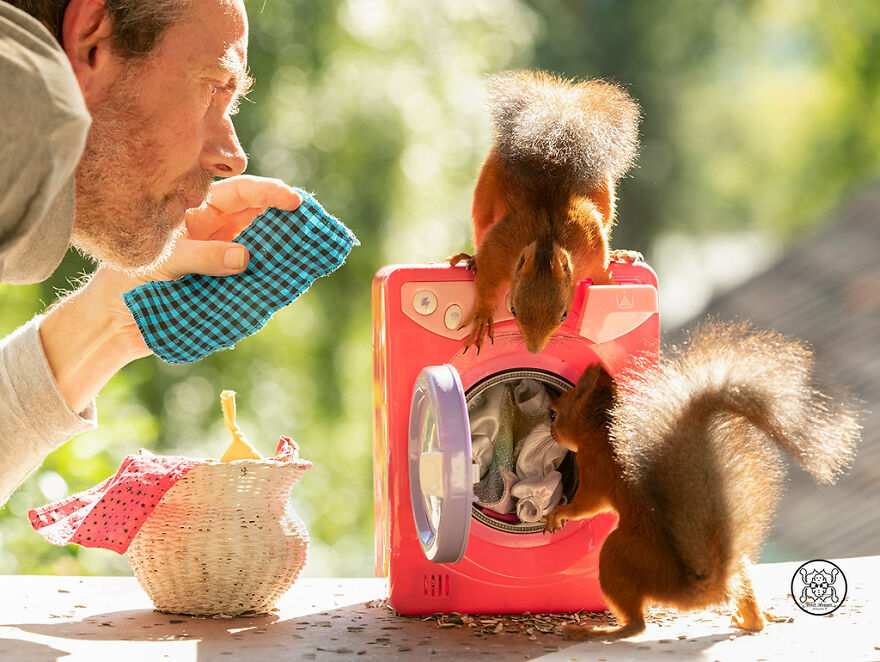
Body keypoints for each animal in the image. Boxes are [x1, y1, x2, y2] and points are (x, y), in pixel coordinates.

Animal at [449, 70, 642, 353]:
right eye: (512, 309)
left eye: (564, 315)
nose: (533, 350)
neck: (546, 242)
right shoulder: (498, 251)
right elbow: (485, 281)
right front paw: (483, 314)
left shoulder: (591, 245)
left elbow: (600, 270)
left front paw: (610, 286)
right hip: (484, 195)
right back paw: (469, 259)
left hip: (605, 194)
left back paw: (619, 254)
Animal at [543, 321, 860, 640]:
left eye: (554, 413)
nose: (551, 432)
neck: (601, 424)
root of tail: (690, 588)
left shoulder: (594, 466)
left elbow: (587, 505)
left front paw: (558, 514)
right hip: (737, 565)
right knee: (749, 607)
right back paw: (751, 618)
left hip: (617, 553)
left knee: (636, 625)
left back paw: (598, 631)